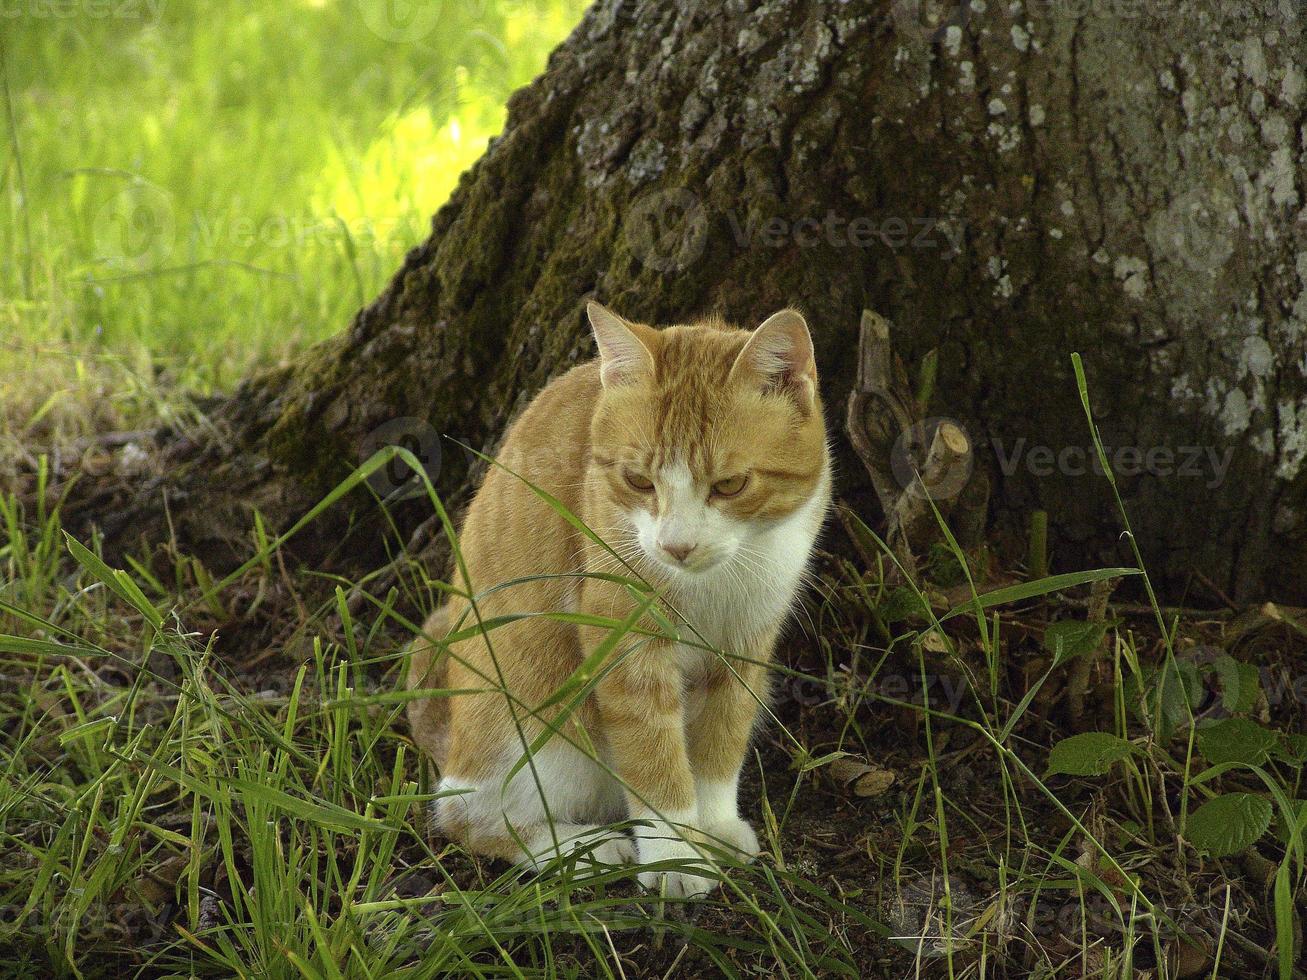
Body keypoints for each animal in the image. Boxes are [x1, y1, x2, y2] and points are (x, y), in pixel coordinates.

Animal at [402, 301, 831, 898]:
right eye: (638, 480)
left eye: (729, 485)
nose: (677, 546)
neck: (718, 582)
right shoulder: (623, 642)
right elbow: (652, 755)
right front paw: (675, 854)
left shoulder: (746, 640)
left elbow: (722, 737)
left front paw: (714, 825)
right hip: (531, 723)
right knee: (464, 812)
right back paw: (579, 850)